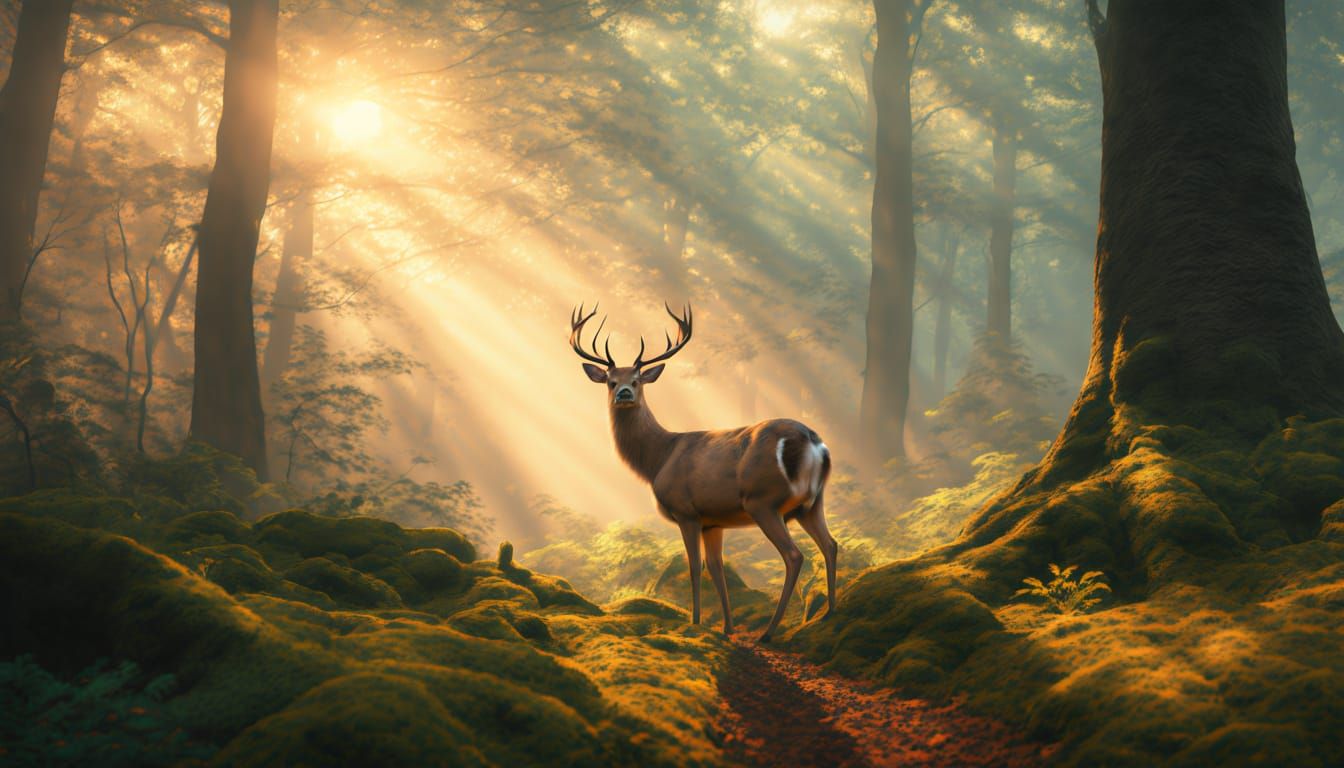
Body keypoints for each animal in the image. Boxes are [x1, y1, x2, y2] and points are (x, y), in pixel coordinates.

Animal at [570, 302, 836, 642]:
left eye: (638, 379)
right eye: (610, 381)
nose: (625, 393)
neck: (658, 458)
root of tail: (812, 441)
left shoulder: (687, 511)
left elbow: (694, 567)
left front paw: (695, 623)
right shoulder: (713, 521)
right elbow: (716, 567)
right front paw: (727, 628)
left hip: (764, 501)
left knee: (794, 555)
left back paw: (769, 632)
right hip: (812, 503)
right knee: (830, 545)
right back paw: (830, 613)